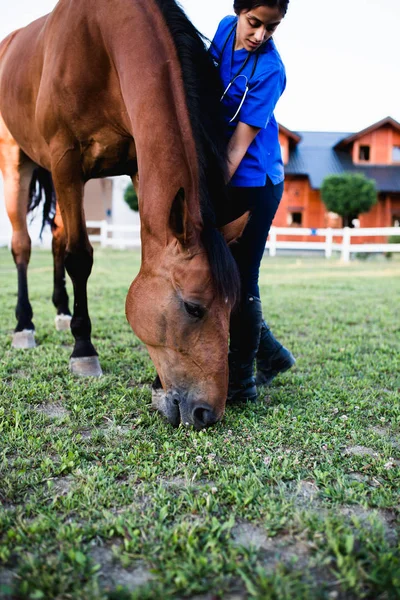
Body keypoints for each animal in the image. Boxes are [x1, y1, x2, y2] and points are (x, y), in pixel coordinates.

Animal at [0, 0, 247, 432]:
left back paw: (61, 312)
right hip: (18, 159)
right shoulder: (66, 163)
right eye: (193, 308)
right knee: (23, 246)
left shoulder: (135, 164)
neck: (101, 40)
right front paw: (83, 350)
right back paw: (24, 325)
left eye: (231, 308)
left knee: (57, 239)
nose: (207, 413)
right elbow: (80, 258)